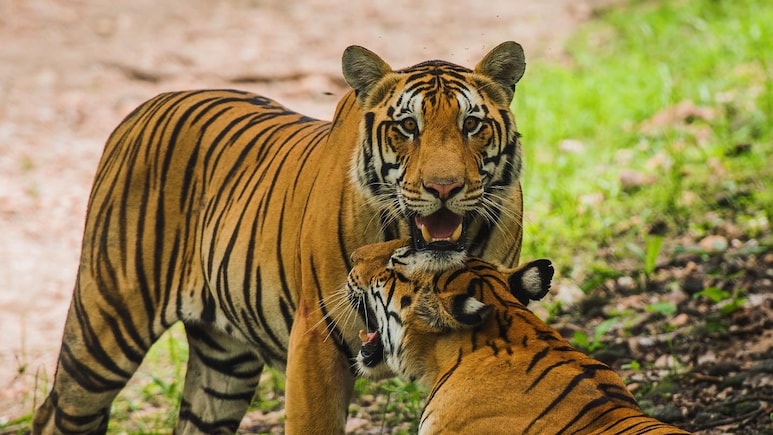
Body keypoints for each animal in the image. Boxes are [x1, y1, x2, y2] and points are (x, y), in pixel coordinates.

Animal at [32, 41, 527, 434]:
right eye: (408, 127)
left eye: (471, 125)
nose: (444, 188)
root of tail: (147, 104)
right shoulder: (316, 337)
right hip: (105, 326)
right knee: (55, 413)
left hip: (223, 363)